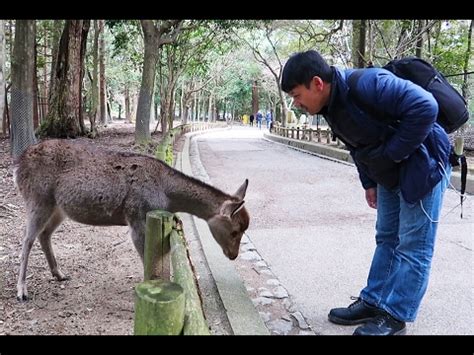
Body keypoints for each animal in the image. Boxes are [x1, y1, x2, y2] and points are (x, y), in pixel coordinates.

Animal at [12, 140, 250, 302]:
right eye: (235, 230)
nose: (233, 255)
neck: (166, 196)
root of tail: (17, 166)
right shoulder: (137, 218)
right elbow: (147, 257)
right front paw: (150, 286)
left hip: (58, 208)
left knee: (44, 235)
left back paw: (60, 274)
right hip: (37, 198)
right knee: (26, 239)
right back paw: (22, 291)